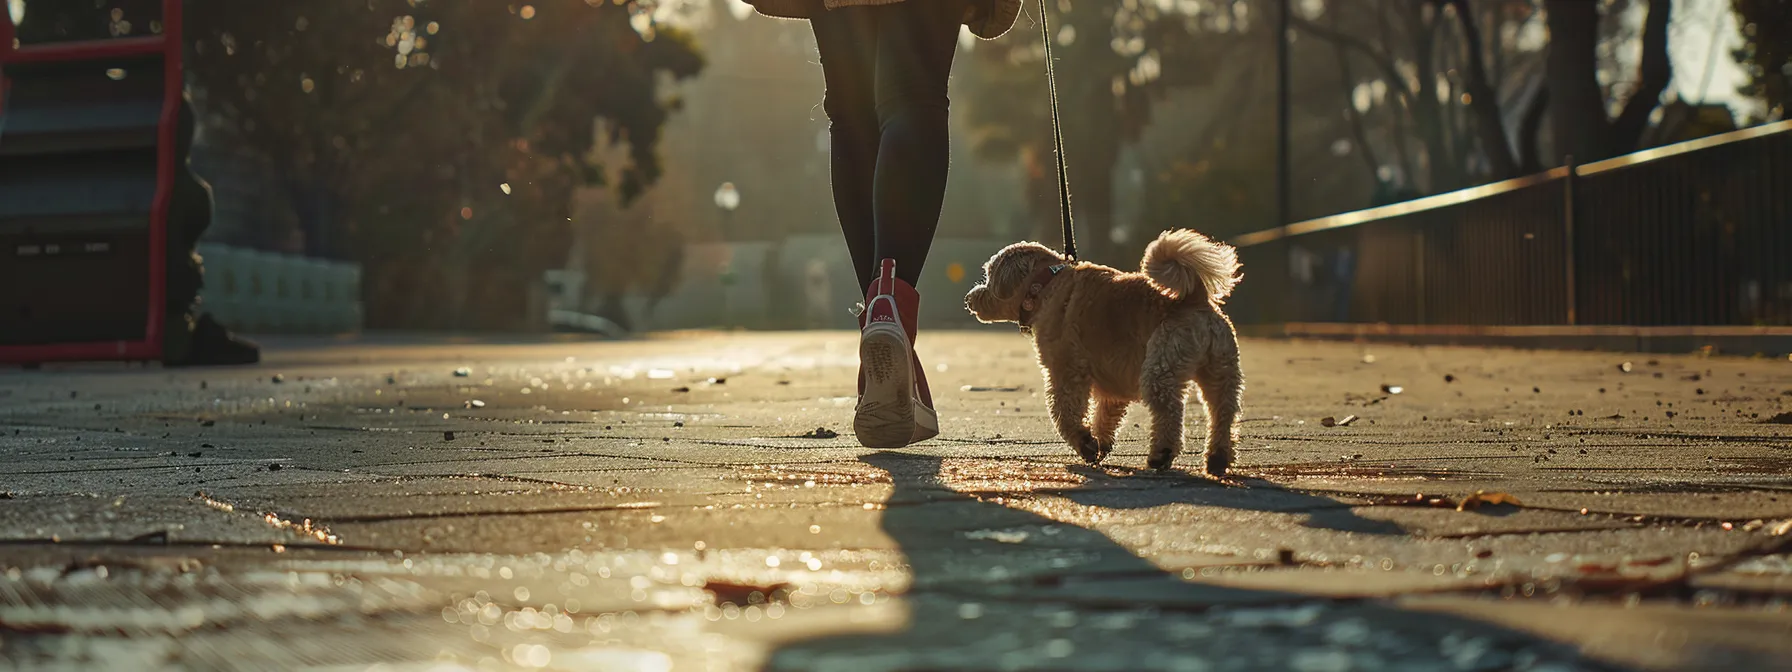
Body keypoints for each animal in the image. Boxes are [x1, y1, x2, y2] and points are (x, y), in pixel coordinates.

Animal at [967, 229, 1247, 476]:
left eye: (988, 276)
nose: (969, 299)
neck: (1045, 287)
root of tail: (1196, 299)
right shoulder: (1112, 385)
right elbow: (1104, 418)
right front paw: (1099, 445)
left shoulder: (1065, 372)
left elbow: (1064, 413)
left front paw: (1085, 443)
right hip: (1221, 373)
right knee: (1222, 414)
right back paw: (1218, 459)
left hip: (1161, 369)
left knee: (1170, 412)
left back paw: (1162, 454)